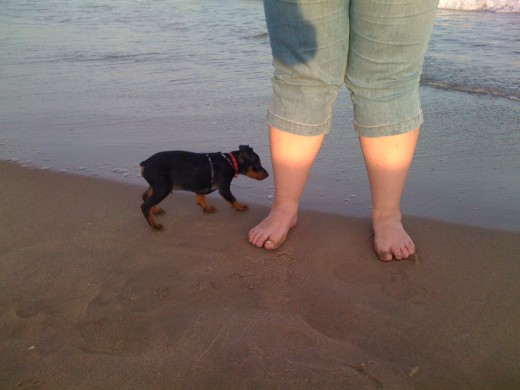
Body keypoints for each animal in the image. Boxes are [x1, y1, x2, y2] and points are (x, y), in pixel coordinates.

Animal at [139, 145, 268, 230]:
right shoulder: (224, 188)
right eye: (257, 164)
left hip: (157, 186)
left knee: (145, 196)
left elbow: (201, 198)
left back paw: (155, 210)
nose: (267, 175)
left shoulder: (200, 185)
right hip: (163, 187)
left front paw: (207, 208)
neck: (231, 162)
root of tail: (145, 162)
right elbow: (233, 200)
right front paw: (241, 207)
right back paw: (154, 225)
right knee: (145, 205)